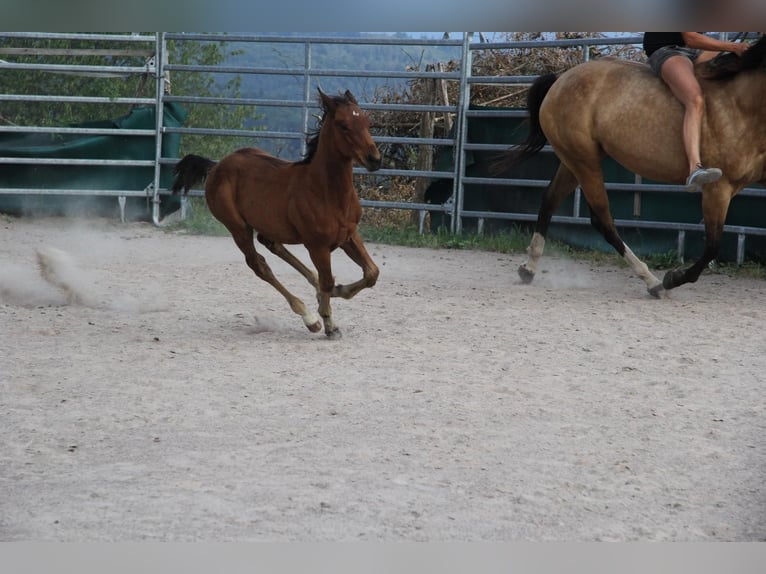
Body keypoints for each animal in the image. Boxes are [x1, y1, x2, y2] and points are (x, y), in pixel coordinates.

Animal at [171, 87, 380, 336]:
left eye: (367, 122)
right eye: (343, 125)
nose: (374, 159)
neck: (325, 191)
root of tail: (216, 166)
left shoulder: (348, 235)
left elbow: (371, 273)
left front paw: (338, 292)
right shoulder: (317, 246)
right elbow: (328, 280)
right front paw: (329, 323)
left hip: (269, 224)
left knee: (272, 245)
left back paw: (316, 293)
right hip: (237, 227)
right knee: (259, 264)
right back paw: (309, 317)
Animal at [500, 35, 766, 296]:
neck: (742, 103)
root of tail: (560, 80)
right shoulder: (718, 188)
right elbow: (712, 246)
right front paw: (673, 278)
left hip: (573, 161)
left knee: (550, 200)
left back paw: (528, 269)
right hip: (584, 162)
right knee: (602, 220)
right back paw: (652, 282)